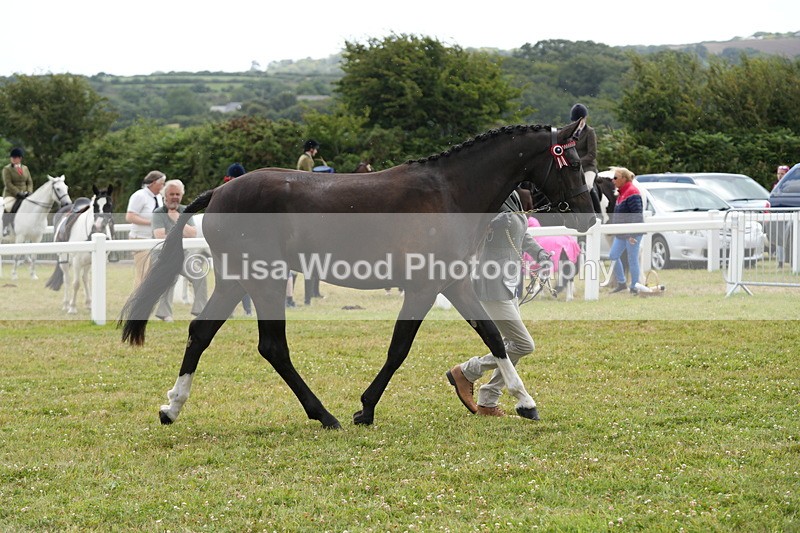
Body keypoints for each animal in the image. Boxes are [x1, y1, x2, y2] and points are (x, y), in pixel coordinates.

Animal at [120, 121, 596, 429]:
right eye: (572, 162)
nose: (588, 217)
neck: (451, 191)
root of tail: (219, 192)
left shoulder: (455, 282)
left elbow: (494, 336)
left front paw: (525, 403)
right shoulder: (424, 286)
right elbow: (399, 348)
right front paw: (364, 410)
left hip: (238, 281)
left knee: (202, 333)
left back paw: (171, 408)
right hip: (265, 281)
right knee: (272, 346)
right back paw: (324, 415)